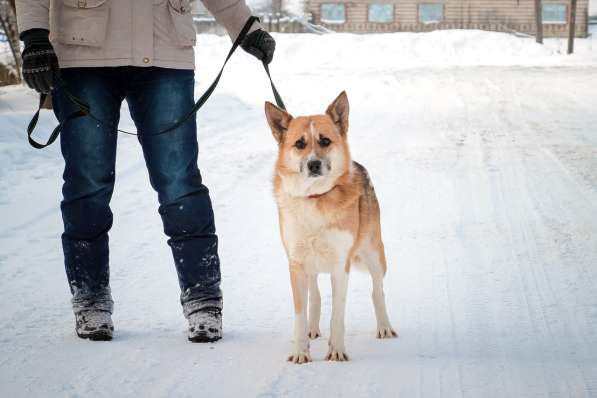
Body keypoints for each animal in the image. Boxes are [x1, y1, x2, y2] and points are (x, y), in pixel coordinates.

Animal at [264, 91, 396, 364]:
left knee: (377, 290)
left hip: (374, 253)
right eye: (299, 144)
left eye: (325, 141)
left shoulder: (340, 266)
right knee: (314, 295)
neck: (315, 198)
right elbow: (300, 314)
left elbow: (338, 313)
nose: (314, 164)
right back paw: (313, 329)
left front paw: (336, 350)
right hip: (311, 265)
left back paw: (384, 327)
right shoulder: (296, 264)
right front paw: (300, 351)